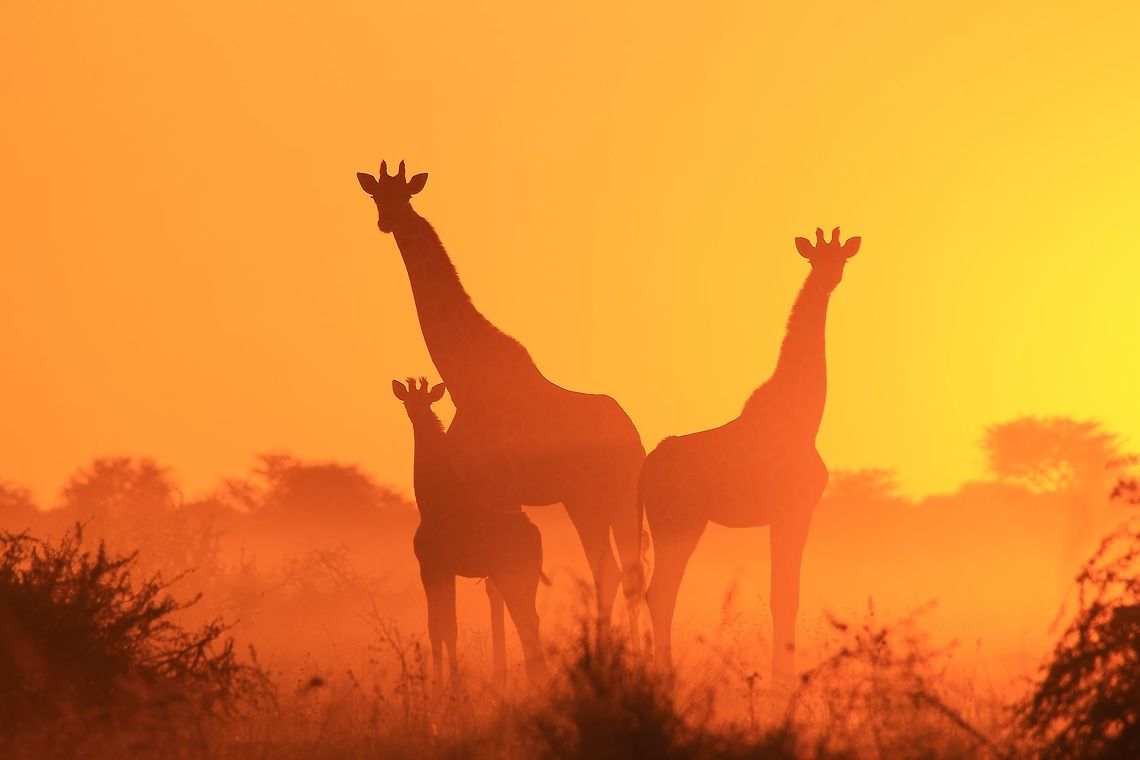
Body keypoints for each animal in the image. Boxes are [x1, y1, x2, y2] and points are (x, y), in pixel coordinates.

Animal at [357, 162, 647, 652]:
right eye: (377, 195)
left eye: (404, 194)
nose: (387, 221)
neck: (463, 377)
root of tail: (635, 438)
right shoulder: (491, 492)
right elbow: (496, 583)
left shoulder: (495, 489)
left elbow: (499, 579)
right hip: (598, 498)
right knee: (617, 570)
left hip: (602, 495)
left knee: (619, 570)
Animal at [393, 377, 547, 684]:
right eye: (406, 401)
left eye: (426, 401)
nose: (417, 414)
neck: (432, 501)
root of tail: (536, 536)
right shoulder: (444, 571)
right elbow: (445, 628)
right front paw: (449, 684)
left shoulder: (430, 567)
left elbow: (439, 627)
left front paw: (444, 687)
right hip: (525, 577)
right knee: (530, 621)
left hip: (509, 575)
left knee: (525, 620)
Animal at [641, 227, 860, 687]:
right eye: (814, 259)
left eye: (843, 259)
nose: (830, 279)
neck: (806, 418)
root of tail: (644, 470)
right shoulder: (793, 510)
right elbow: (785, 596)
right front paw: (784, 683)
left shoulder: (790, 514)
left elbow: (786, 594)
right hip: (679, 522)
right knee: (661, 592)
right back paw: (665, 677)